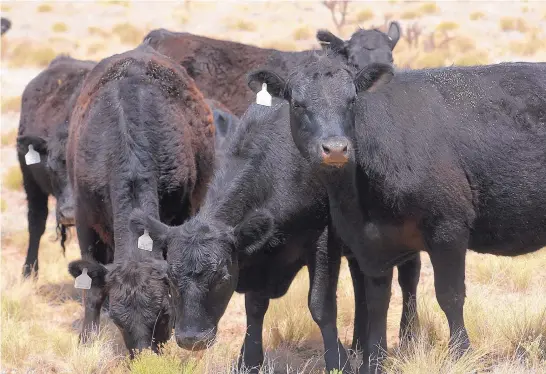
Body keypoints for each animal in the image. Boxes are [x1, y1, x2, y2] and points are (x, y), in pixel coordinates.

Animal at [130, 95, 418, 372]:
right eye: (170, 278)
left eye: (222, 277)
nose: (192, 339)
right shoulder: (258, 256)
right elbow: (255, 308)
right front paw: (248, 361)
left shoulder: (323, 238)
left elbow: (321, 305)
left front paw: (339, 363)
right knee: (361, 283)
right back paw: (359, 344)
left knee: (408, 277)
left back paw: (409, 339)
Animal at [249, 54, 544, 372]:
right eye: (298, 104)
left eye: (352, 101)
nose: (336, 148)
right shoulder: (369, 244)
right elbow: (377, 302)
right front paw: (374, 361)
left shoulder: (448, 227)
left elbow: (450, 295)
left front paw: (461, 355)